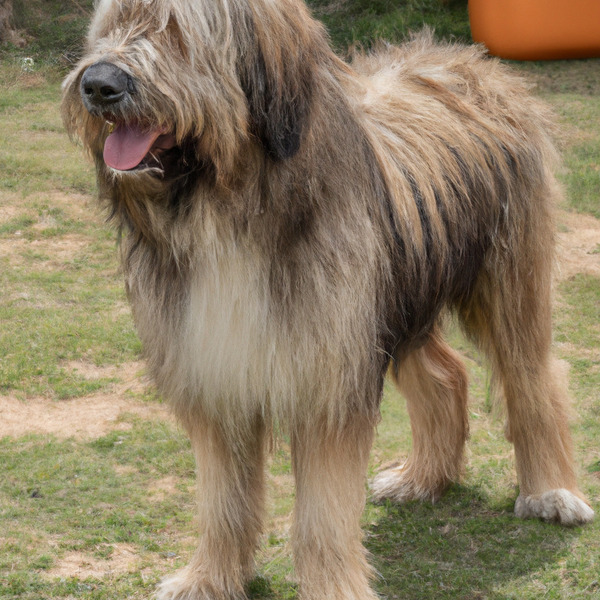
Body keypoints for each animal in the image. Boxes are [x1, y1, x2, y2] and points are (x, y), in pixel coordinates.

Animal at [62, 1, 596, 596]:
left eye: (175, 30)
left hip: (502, 280)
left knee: (534, 376)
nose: (97, 85)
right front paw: (209, 578)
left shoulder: (327, 381)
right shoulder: (215, 368)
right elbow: (222, 501)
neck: (230, 207)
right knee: (446, 375)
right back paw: (422, 478)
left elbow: (323, 515)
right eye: (109, 28)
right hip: (389, 300)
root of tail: (477, 65)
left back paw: (551, 492)